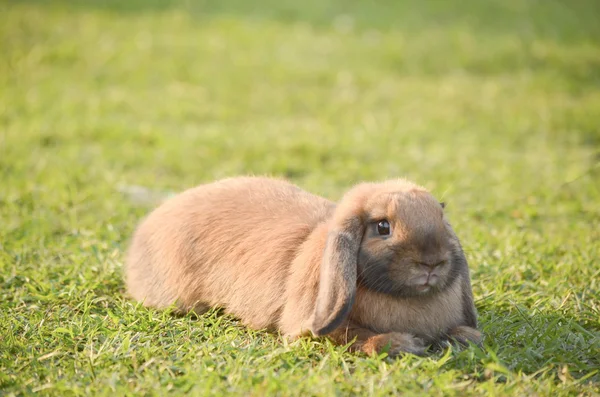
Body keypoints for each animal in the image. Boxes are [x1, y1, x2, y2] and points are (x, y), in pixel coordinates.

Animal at [124, 176, 480, 356]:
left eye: (441, 216)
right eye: (382, 227)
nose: (432, 263)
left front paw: (465, 336)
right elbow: (351, 335)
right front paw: (403, 345)